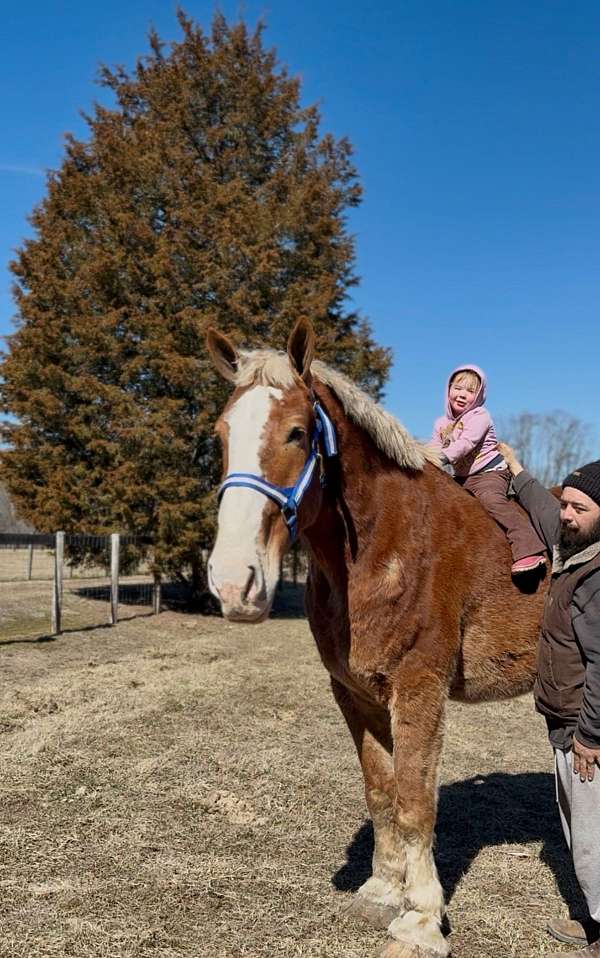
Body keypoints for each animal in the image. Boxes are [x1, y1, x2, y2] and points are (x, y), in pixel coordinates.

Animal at [204, 320, 548, 958]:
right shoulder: (357, 693)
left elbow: (414, 802)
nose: (234, 582)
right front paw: (385, 891)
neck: (386, 542)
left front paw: (421, 920)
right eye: (221, 433)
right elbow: (381, 793)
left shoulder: (419, 689)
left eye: (297, 432)